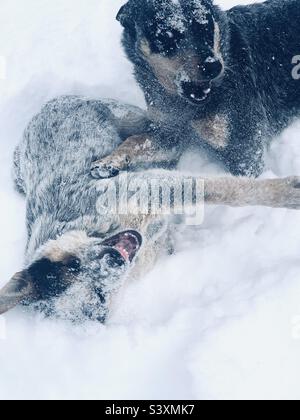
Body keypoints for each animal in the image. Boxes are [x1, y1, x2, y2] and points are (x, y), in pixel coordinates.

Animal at [0, 97, 300, 322]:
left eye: (73, 264)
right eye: (99, 295)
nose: (114, 260)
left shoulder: (148, 187)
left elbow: (229, 191)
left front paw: (287, 193)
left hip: (126, 115)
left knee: (163, 137)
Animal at [91, 0, 300, 179]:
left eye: (206, 28)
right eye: (168, 35)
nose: (213, 66)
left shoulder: (245, 150)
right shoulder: (170, 132)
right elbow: (137, 140)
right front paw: (109, 161)